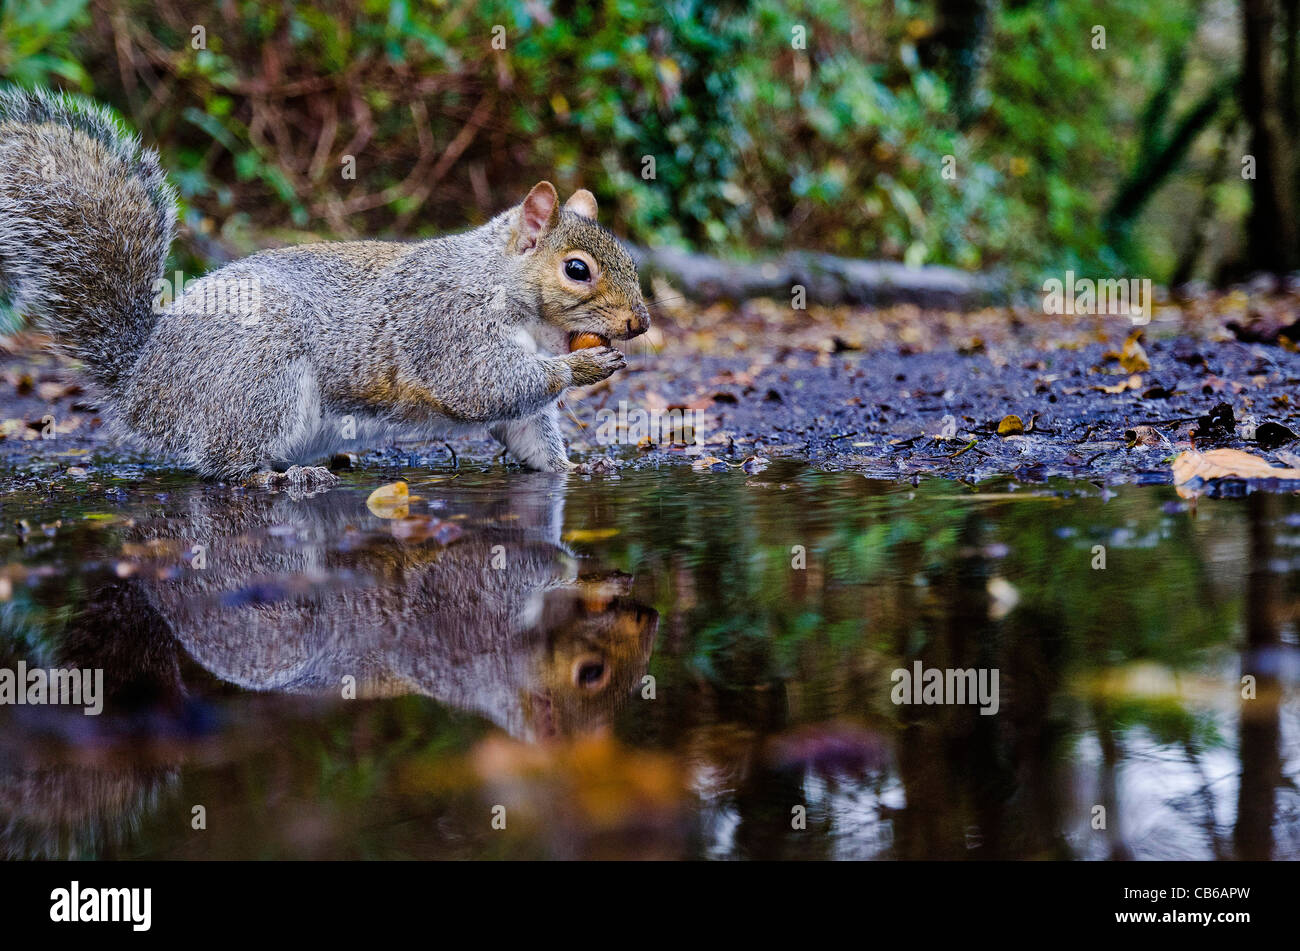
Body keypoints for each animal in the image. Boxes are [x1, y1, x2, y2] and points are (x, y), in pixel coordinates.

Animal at [0, 88, 650, 483]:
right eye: (577, 269)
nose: (639, 323)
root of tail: (142, 380)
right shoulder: (444, 322)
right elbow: (480, 384)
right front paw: (582, 369)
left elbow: (528, 431)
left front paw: (574, 470)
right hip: (259, 378)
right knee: (226, 462)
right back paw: (279, 476)